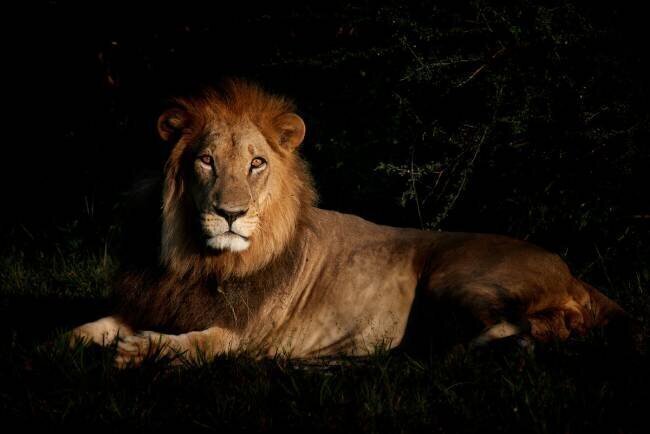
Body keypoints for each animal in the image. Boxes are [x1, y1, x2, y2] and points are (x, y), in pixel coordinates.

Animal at [71, 79, 633, 368]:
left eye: (257, 164)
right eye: (206, 161)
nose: (230, 214)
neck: (200, 262)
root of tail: (573, 273)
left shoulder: (250, 337)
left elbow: (201, 343)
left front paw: (138, 350)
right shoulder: (154, 298)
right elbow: (92, 326)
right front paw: (70, 341)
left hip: (456, 275)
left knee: (531, 329)